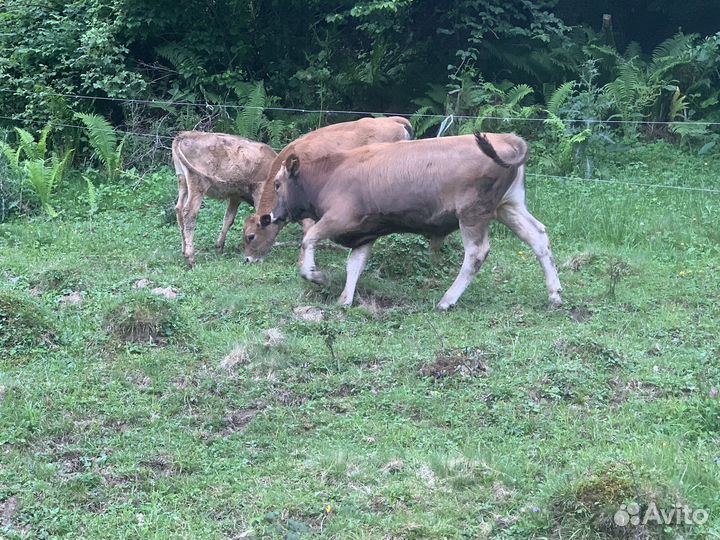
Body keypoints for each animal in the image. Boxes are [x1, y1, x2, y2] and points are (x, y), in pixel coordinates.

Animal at [172, 131, 277, 267]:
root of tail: (184, 135)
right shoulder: (259, 189)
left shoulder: (235, 196)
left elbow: (228, 219)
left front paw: (219, 247)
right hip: (198, 183)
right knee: (189, 213)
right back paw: (191, 258)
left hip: (182, 181)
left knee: (179, 209)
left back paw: (184, 251)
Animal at [262, 132, 562, 311]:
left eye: (277, 184)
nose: (272, 216)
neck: (330, 174)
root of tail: (506, 137)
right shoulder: (364, 233)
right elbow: (354, 265)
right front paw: (345, 300)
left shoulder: (338, 218)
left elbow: (309, 239)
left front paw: (317, 276)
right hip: (508, 206)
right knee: (538, 237)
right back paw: (555, 294)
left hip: (473, 213)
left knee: (476, 253)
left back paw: (447, 300)